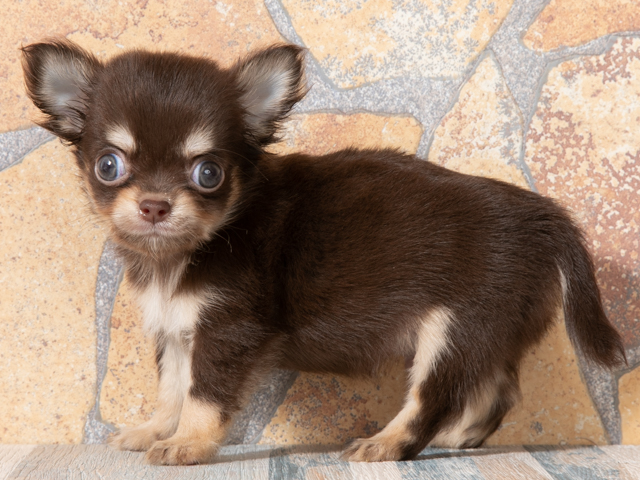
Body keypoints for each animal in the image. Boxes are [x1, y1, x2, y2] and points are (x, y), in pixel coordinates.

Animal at [21, 39, 624, 464]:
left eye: (208, 173)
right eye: (109, 165)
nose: (153, 205)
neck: (183, 254)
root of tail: (542, 217)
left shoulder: (227, 331)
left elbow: (203, 395)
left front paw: (188, 444)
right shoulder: (177, 330)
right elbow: (173, 388)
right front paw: (153, 429)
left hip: (455, 331)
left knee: (434, 399)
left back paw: (388, 445)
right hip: (489, 332)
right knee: (495, 389)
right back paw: (458, 439)